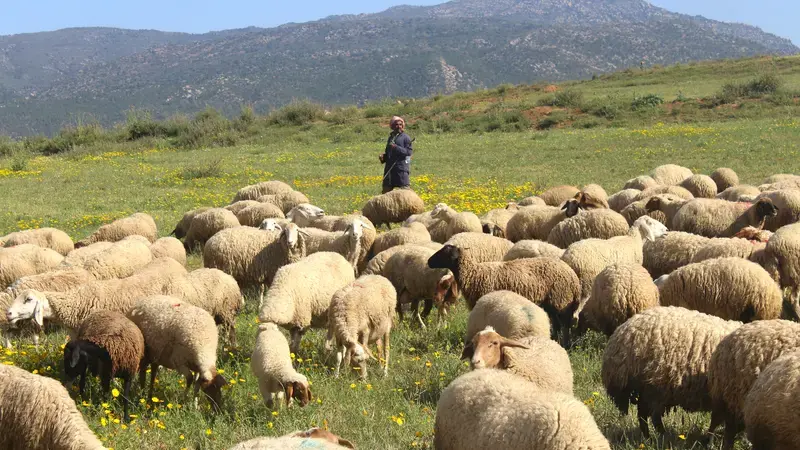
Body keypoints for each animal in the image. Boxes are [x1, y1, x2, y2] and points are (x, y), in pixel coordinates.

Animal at [428, 244, 581, 346]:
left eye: (444, 253)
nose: (429, 262)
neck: (473, 274)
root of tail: (573, 277)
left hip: (561, 300)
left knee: (565, 325)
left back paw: (565, 344)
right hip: (552, 303)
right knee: (557, 324)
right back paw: (554, 340)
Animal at [602, 306, 741, 437]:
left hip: (648, 387)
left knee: (643, 413)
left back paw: (650, 436)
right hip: (655, 386)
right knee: (651, 415)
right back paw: (660, 436)